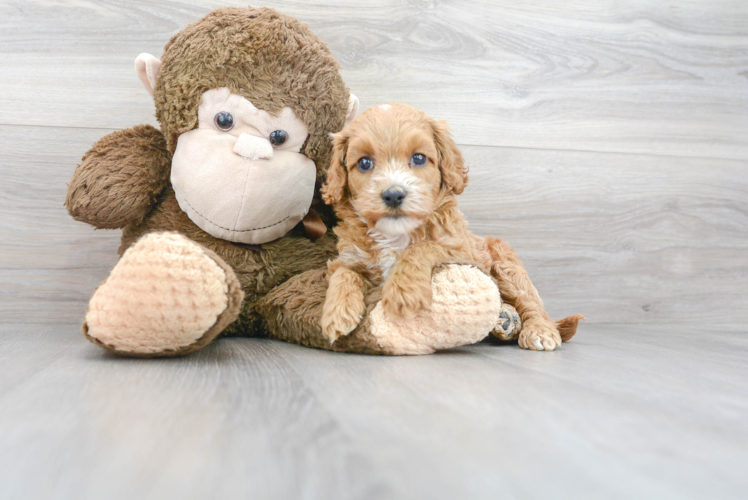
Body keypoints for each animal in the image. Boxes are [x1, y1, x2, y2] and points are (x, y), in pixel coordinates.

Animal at [318, 102, 580, 352]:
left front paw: (403, 292)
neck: (396, 234)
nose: (393, 195)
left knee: (531, 300)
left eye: (419, 158)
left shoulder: (460, 250)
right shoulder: (349, 257)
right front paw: (336, 312)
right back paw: (505, 318)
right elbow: (344, 272)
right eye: (364, 163)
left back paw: (538, 330)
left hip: (505, 264)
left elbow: (421, 248)